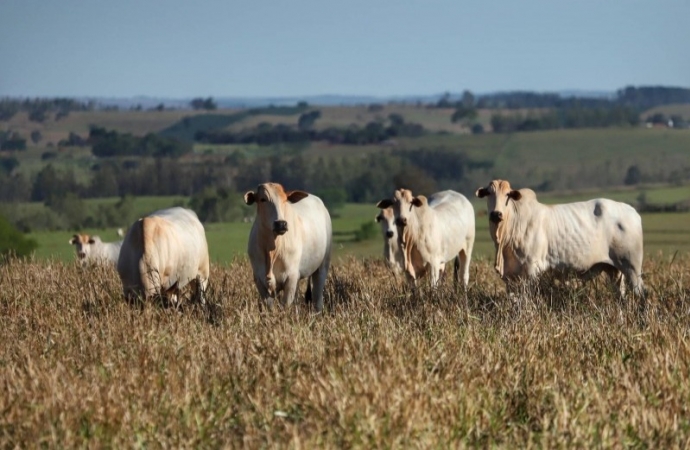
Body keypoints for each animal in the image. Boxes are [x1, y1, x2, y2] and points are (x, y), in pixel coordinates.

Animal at [243, 183, 332, 312]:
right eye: (263, 199)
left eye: (285, 200)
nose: (281, 224)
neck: (273, 249)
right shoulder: (259, 280)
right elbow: (270, 307)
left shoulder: (291, 278)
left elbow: (285, 306)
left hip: (322, 266)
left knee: (317, 299)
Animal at [476, 179, 644, 298]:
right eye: (489, 193)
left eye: (508, 195)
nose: (496, 214)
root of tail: (633, 211)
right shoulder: (510, 277)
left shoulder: (531, 270)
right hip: (615, 270)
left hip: (632, 268)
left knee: (641, 295)